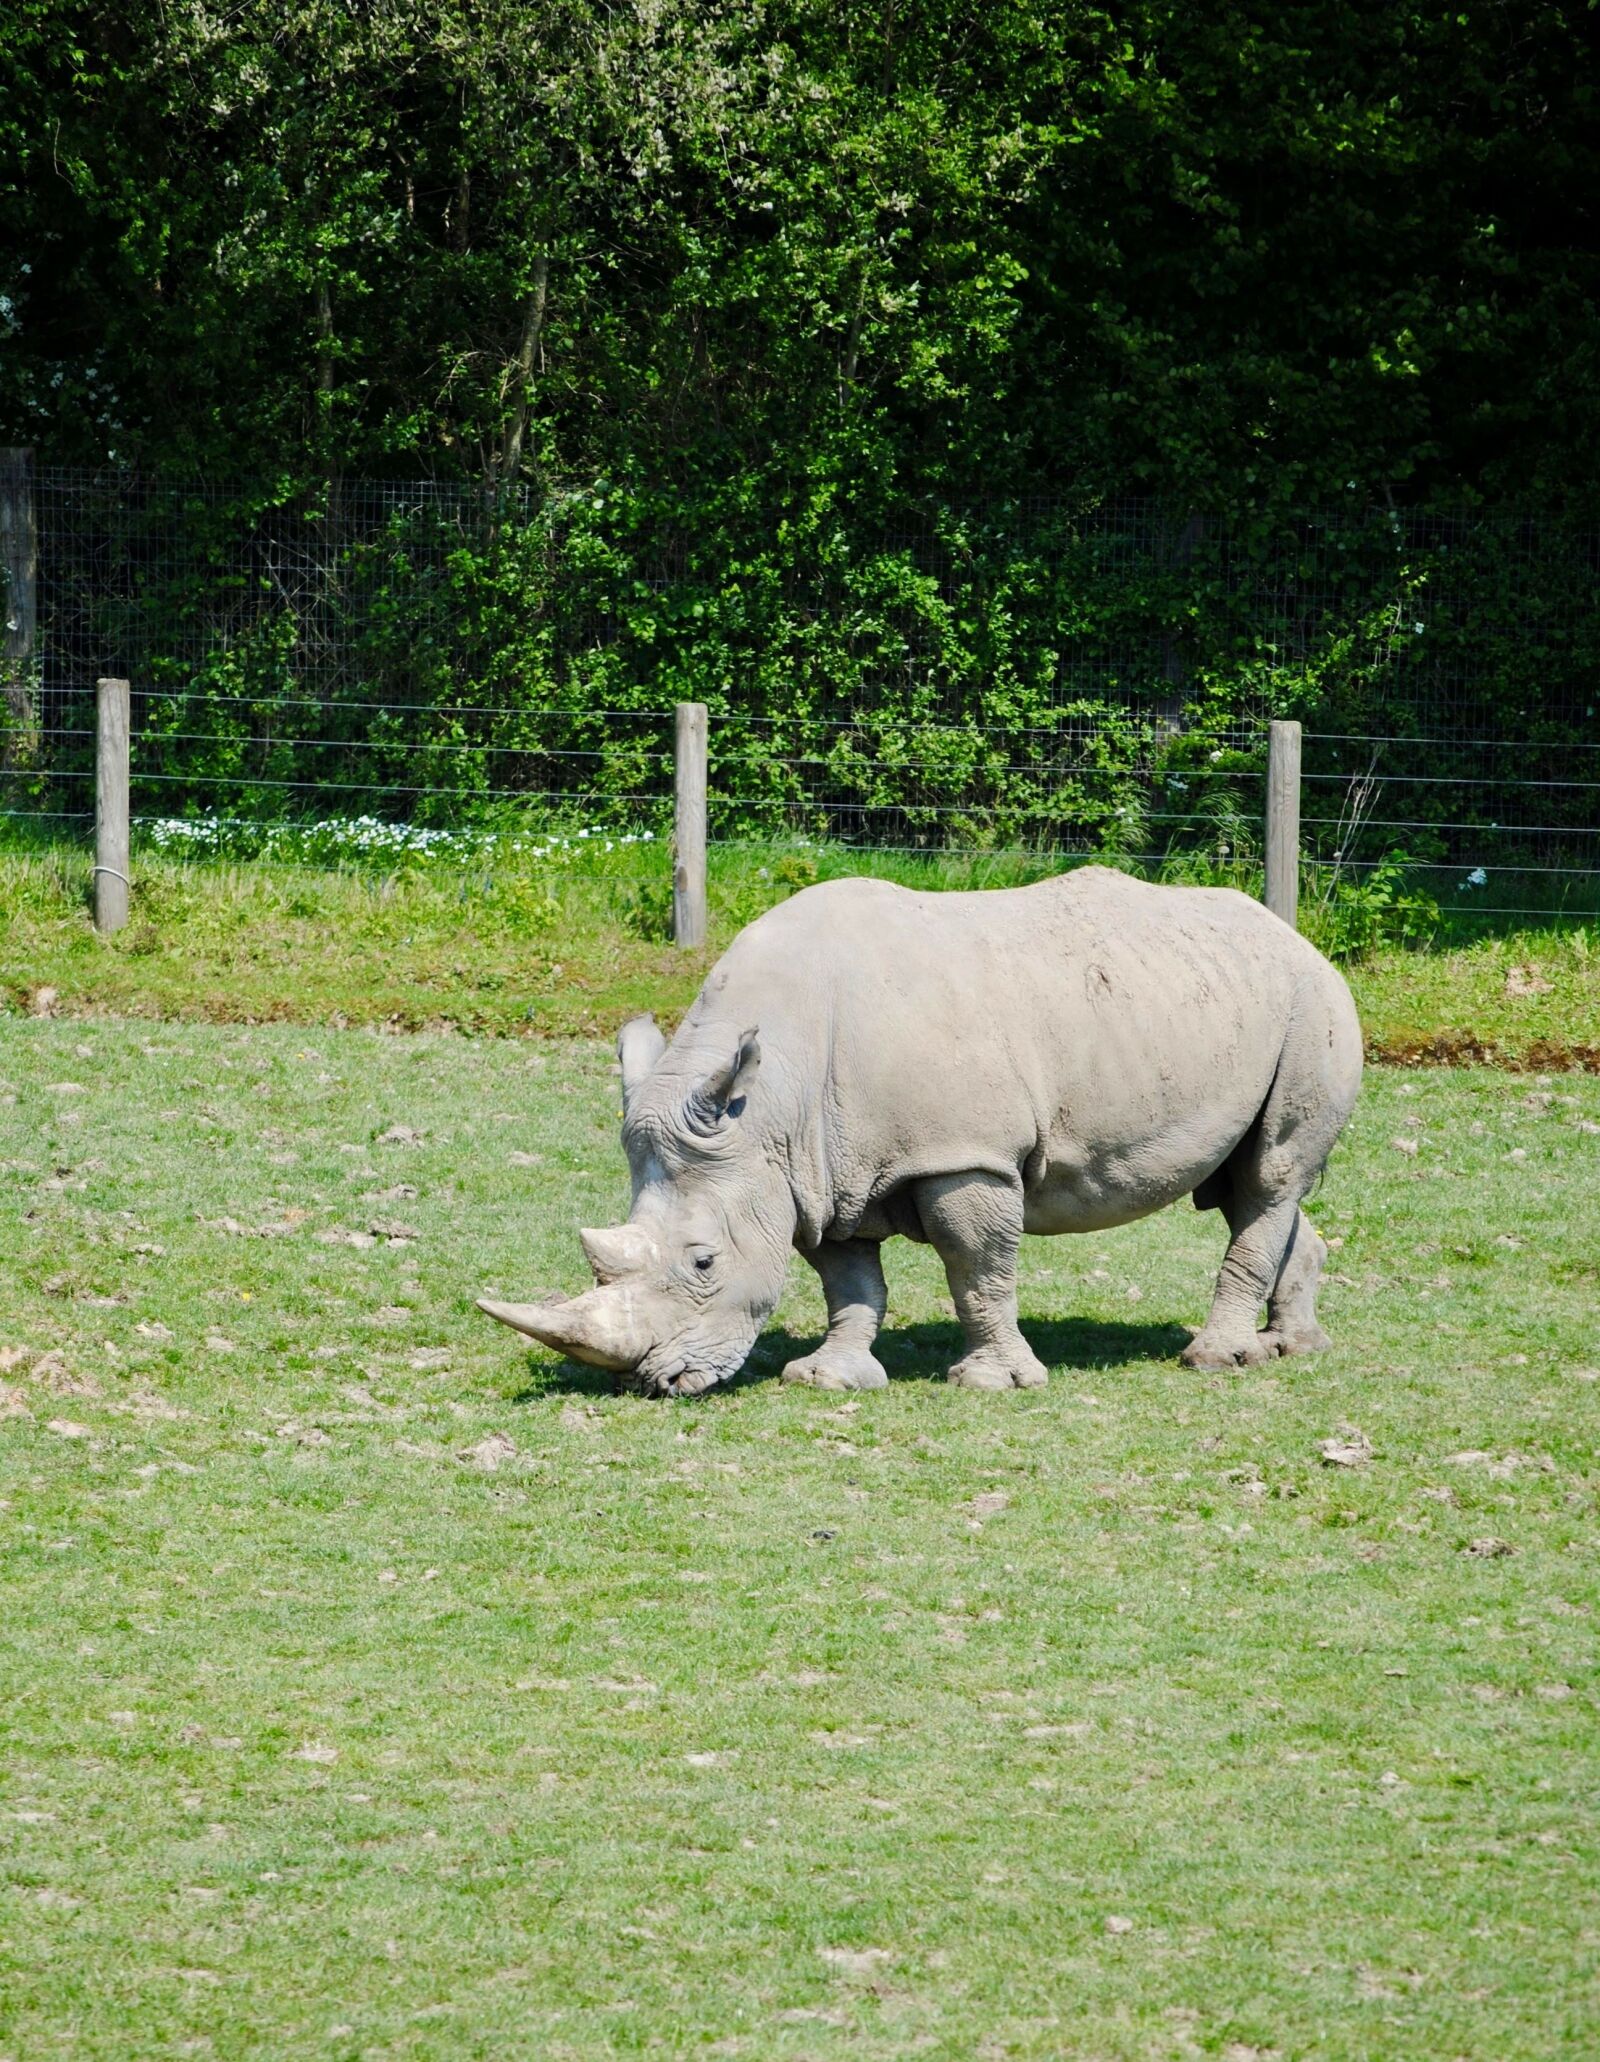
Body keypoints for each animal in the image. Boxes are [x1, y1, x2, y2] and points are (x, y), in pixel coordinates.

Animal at [480, 867, 1363, 1396]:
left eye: (703, 1262)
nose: (652, 1382)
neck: (768, 1105)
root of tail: (1297, 935)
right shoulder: (814, 1171)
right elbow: (849, 1281)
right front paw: (827, 1378)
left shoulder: (962, 1157)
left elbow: (978, 1268)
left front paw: (992, 1383)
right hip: (1223, 998)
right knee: (1248, 1185)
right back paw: (1295, 1348)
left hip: (1310, 999)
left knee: (1269, 1176)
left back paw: (1215, 1360)